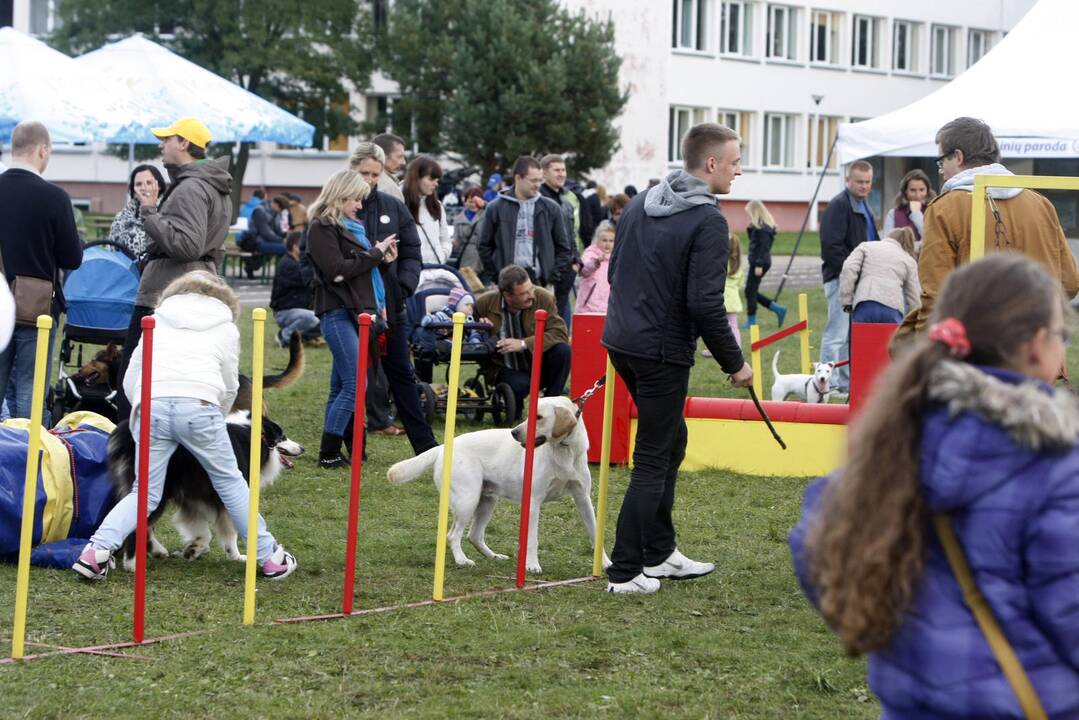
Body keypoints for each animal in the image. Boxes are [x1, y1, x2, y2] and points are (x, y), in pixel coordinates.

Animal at [388, 395, 612, 574]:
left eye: (539, 417)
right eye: (528, 415)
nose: (514, 433)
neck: (563, 451)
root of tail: (444, 446)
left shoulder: (583, 499)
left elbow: (595, 533)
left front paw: (606, 564)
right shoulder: (533, 502)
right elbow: (532, 539)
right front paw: (532, 566)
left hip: (487, 501)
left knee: (474, 535)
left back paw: (494, 557)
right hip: (467, 500)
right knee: (453, 535)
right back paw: (462, 561)